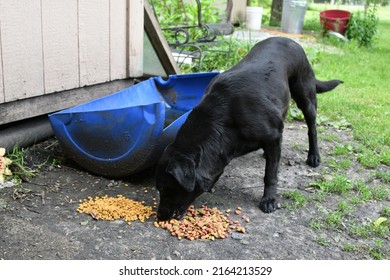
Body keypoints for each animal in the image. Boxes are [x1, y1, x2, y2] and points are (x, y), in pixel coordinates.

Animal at [155, 36, 342, 221]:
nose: (159, 217)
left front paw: (269, 199)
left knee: (312, 128)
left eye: (163, 188)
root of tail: (288, 39)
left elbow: (270, 174)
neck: (225, 117)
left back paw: (314, 156)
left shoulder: (273, 136)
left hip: (305, 95)